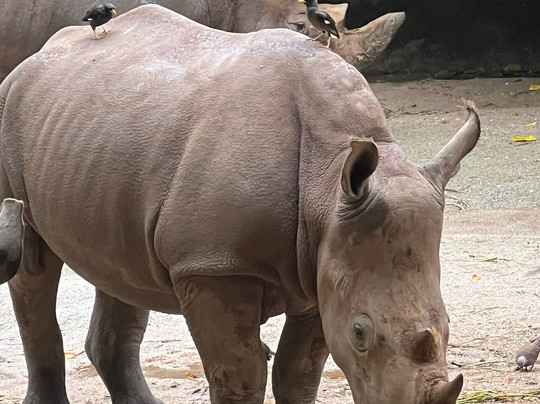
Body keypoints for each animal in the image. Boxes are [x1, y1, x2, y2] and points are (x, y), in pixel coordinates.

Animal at [0, 5, 480, 404]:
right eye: (361, 332)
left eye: (448, 325)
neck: (327, 184)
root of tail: (42, 51)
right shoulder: (214, 266)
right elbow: (242, 376)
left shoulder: (323, 262)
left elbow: (298, 374)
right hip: (9, 111)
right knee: (33, 266)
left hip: (105, 141)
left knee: (120, 266)